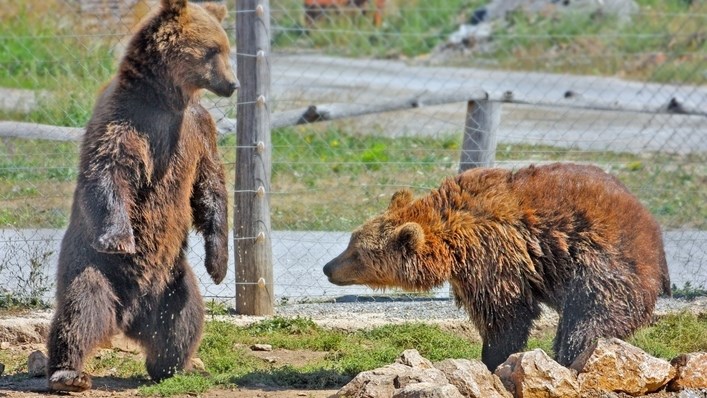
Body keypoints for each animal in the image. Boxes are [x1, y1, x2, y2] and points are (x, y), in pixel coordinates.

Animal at [45, 0, 238, 392]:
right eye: (213, 50)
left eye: (226, 48)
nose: (233, 83)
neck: (166, 100)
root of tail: (130, 318)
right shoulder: (127, 119)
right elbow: (108, 170)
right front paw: (121, 237)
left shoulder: (198, 129)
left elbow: (210, 186)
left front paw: (218, 264)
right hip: (93, 265)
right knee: (81, 309)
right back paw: (68, 372)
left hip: (173, 282)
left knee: (185, 320)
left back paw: (173, 366)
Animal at [324, 162, 672, 370]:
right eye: (351, 242)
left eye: (356, 253)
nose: (328, 267)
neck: (451, 243)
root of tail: (654, 230)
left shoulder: (495, 255)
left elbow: (506, 313)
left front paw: (493, 359)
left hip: (604, 263)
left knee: (588, 322)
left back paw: (572, 360)